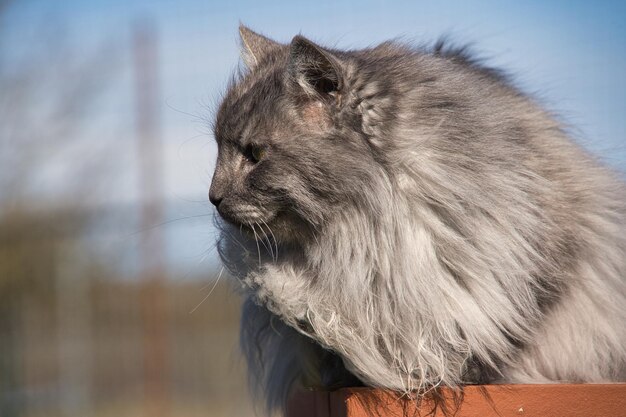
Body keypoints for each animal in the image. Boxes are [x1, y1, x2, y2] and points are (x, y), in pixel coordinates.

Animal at [208, 26, 624, 412]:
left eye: (256, 154)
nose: (213, 196)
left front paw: (459, 375)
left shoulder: (537, 262)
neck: (362, 239)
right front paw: (348, 374)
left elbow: (501, 339)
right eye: (219, 148)